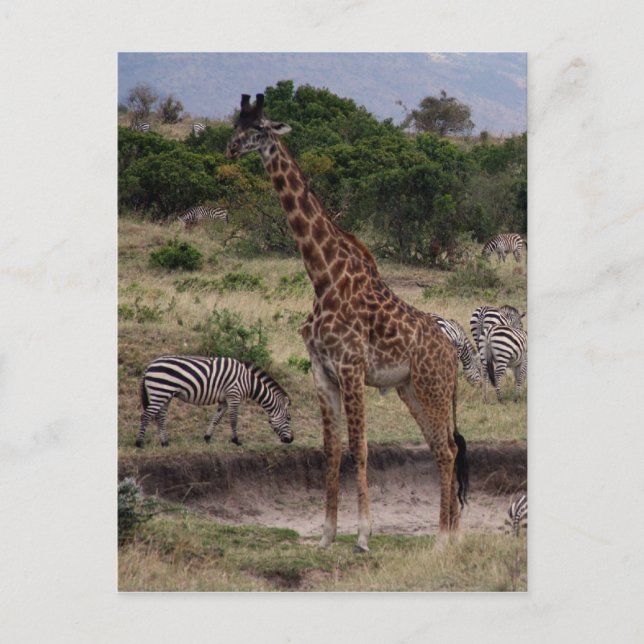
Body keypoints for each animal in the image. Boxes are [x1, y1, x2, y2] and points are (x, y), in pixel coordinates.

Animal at [136, 355, 293, 448]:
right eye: (288, 418)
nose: (291, 440)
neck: (248, 382)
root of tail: (149, 365)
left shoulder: (224, 400)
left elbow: (217, 419)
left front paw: (207, 437)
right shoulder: (234, 395)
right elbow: (233, 420)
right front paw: (236, 440)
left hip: (165, 395)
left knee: (160, 417)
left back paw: (165, 442)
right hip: (160, 391)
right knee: (146, 415)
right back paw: (139, 443)